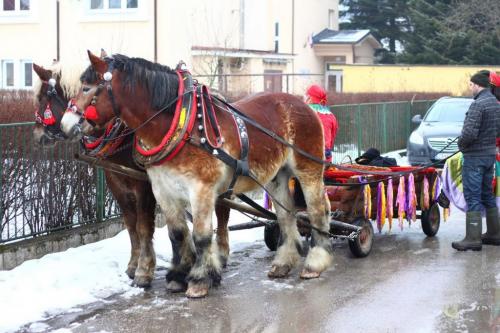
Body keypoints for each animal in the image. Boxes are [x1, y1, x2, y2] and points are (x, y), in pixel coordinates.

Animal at [32, 61, 231, 286]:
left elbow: (143, 226)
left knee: (222, 213)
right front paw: (134, 264)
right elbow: (131, 226)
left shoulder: (144, 186)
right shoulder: (117, 184)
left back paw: (221, 254)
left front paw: (144, 270)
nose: (37, 136)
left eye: (42, 98)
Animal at [60, 52, 332, 298]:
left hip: (308, 168)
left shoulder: (201, 190)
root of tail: (303, 104)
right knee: (286, 216)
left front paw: (200, 279)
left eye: (86, 87)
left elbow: (200, 236)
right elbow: (177, 234)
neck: (180, 125)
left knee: (317, 210)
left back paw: (314, 263)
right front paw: (178, 276)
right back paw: (283, 263)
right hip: (277, 176)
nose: (65, 124)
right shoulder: (164, 191)